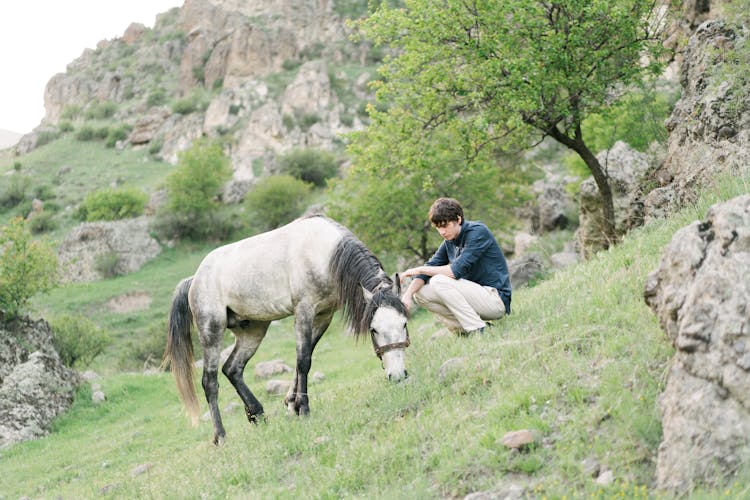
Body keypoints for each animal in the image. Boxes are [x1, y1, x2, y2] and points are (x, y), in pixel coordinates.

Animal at [164, 217, 412, 444]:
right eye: (373, 329)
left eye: (404, 324)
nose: (398, 376)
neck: (323, 253)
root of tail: (195, 280)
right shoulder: (304, 311)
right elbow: (303, 361)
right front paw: (304, 409)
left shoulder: (323, 316)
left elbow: (305, 356)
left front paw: (292, 405)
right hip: (212, 332)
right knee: (210, 381)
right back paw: (221, 436)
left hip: (253, 331)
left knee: (233, 369)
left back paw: (257, 415)